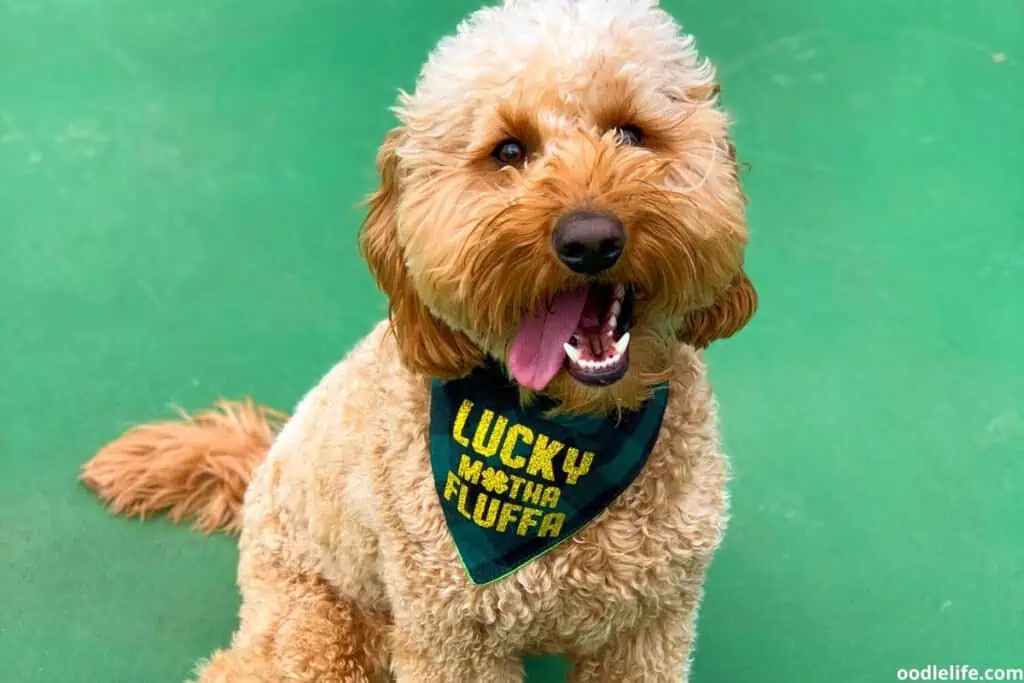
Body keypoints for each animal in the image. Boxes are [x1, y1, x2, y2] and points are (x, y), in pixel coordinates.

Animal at [81, 2, 753, 679]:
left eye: (632, 133)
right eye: (509, 150)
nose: (590, 239)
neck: (563, 434)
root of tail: (260, 470)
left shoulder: (650, 628)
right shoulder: (453, 639)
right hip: (318, 630)